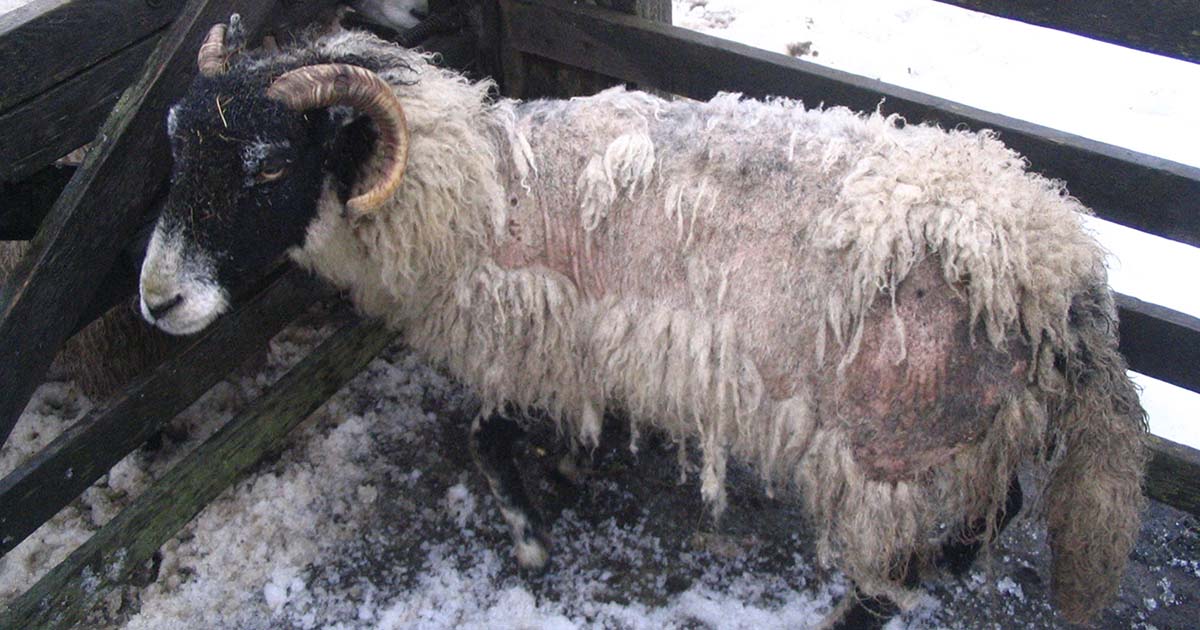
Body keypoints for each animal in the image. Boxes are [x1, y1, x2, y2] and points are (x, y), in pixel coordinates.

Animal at [136, 18, 1147, 624]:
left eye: (271, 166)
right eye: (176, 150)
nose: (157, 299)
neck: (476, 193)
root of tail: (1067, 269)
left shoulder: (530, 346)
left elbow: (482, 439)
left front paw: (531, 536)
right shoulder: (585, 351)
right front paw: (571, 466)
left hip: (896, 444)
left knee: (913, 556)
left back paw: (858, 608)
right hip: (967, 430)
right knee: (989, 516)